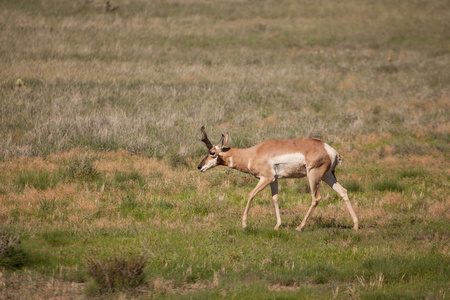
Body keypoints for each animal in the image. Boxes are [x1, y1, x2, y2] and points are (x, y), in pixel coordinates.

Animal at [197, 125, 358, 231]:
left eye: (212, 152)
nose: (199, 167)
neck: (253, 153)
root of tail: (331, 150)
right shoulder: (274, 180)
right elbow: (275, 199)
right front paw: (277, 225)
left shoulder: (265, 178)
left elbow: (250, 195)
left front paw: (244, 224)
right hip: (327, 176)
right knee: (343, 191)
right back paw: (355, 225)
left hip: (314, 176)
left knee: (316, 198)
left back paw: (299, 227)